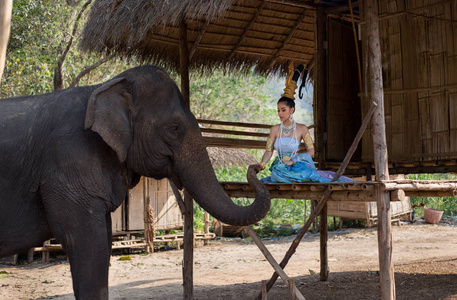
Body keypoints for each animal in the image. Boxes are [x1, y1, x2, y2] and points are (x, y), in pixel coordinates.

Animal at [0, 65, 270, 298]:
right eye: (175, 128)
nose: (256, 165)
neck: (104, 86)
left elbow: (104, 243)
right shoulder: (69, 163)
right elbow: (89, 245)